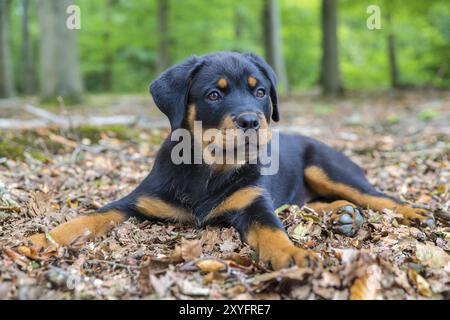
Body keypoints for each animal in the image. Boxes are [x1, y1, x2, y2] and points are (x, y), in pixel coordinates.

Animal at [29, 52, 436, 270]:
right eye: (214, 94)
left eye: (261, 92)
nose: (251, 121)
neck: (209, 169)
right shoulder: (136, 201)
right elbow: (92, 215)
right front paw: (41, 239)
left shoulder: (254, 203)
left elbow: (272, 230)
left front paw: (292, 254)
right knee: (312, 203)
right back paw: (343, 215)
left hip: (327, 166)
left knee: (376, 196)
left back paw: (413, 212)